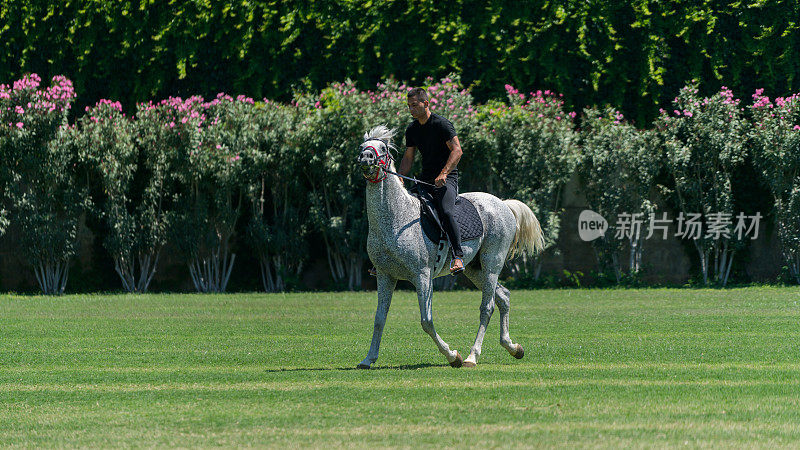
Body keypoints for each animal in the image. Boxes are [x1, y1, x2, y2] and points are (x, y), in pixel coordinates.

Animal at [356, 125, 544, 368]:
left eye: (383, 148)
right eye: (362, 146)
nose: (365, 158)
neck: (395, 218)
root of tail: (503, 204)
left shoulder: (422, 276)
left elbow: (426, 321)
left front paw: (452, 355)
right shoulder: (385, 275)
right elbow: (379, 318)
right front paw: (368, 359)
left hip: (492, 263)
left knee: (488, 307)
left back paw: (472, 356)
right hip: (474, 269)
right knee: (504, 297)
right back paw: (513, 347)